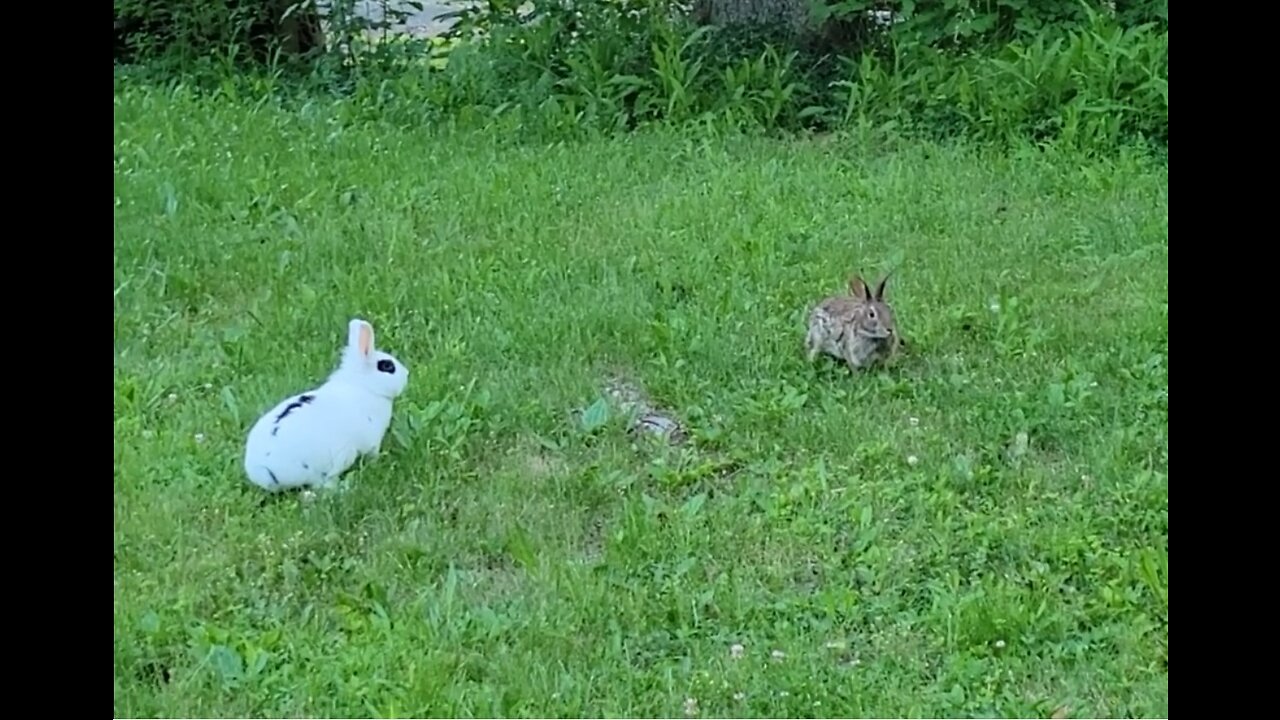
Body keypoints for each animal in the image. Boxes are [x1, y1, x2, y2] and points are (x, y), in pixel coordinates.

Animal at [244, 316, 409, 489]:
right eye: (387, 366)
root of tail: (264, 471)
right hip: (338, 458)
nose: (407, 374)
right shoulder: (373, 442)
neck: (364, 385)